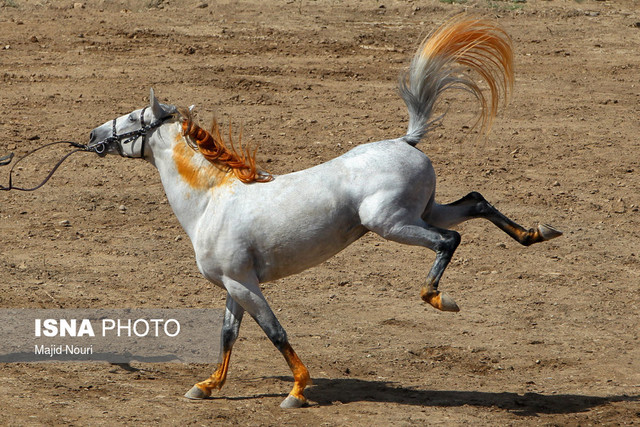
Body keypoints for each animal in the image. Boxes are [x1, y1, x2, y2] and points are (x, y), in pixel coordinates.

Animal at [86, 15, 560, 410]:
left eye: (132, 119)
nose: (92, 135)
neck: (210, 203)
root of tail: (406, 141)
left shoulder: (243, 283)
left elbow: (275, 331)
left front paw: (297, 391)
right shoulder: (235, 283)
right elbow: (227, 334)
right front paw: (206, 386)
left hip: (392, 224)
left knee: (450, 239)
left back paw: (439, 298)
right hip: (426, 211)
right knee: (475, 202)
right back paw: (536, 233)